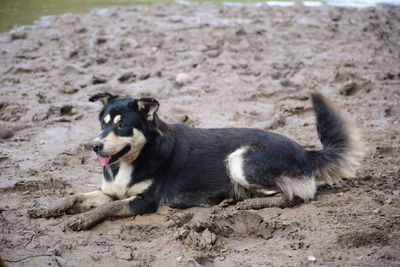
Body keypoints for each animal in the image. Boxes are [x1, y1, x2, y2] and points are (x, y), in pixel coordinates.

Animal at [29, 92, 364, 230]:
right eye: (103, 123)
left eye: (123, 126)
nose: (95, 145)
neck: (135, 158)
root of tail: (305, 151)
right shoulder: (109, 191)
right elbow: (76, 196)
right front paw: (47, 209)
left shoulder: (143, 202)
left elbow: (106, 209)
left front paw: (81, 220)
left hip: (240, 159)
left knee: (293, 196)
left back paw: (250, 203)